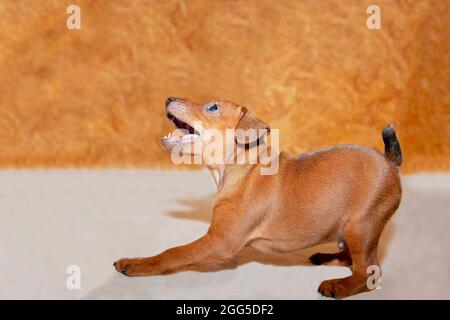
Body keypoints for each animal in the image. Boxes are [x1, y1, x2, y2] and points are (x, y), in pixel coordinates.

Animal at [114, 97, 402, 300]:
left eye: (212, 107)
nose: (169, 98)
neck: (241, 166)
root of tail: (389, 161)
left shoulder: (219, 241)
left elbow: (173, 253)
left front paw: (137, 264)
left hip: (360, 227)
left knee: (367, 271)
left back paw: (338, 286)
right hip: (348, 230)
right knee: (351, 258)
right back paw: (323, 257)